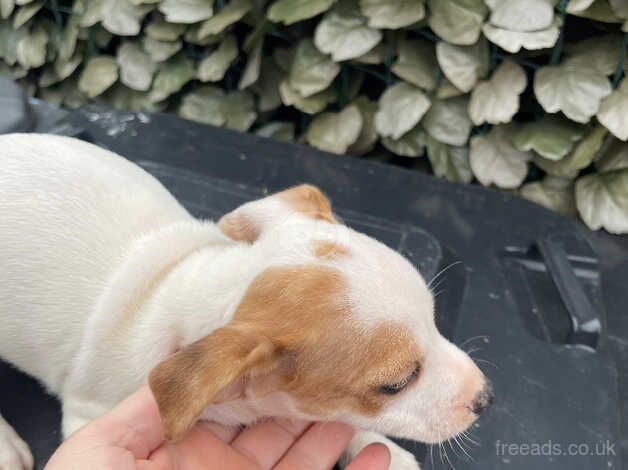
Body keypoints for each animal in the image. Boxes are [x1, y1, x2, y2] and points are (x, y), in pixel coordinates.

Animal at [0, 133, 490, 470]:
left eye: (435, 321)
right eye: (396, 383)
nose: (486, 398)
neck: (182, 284)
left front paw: (376, 445)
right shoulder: (87, 414)